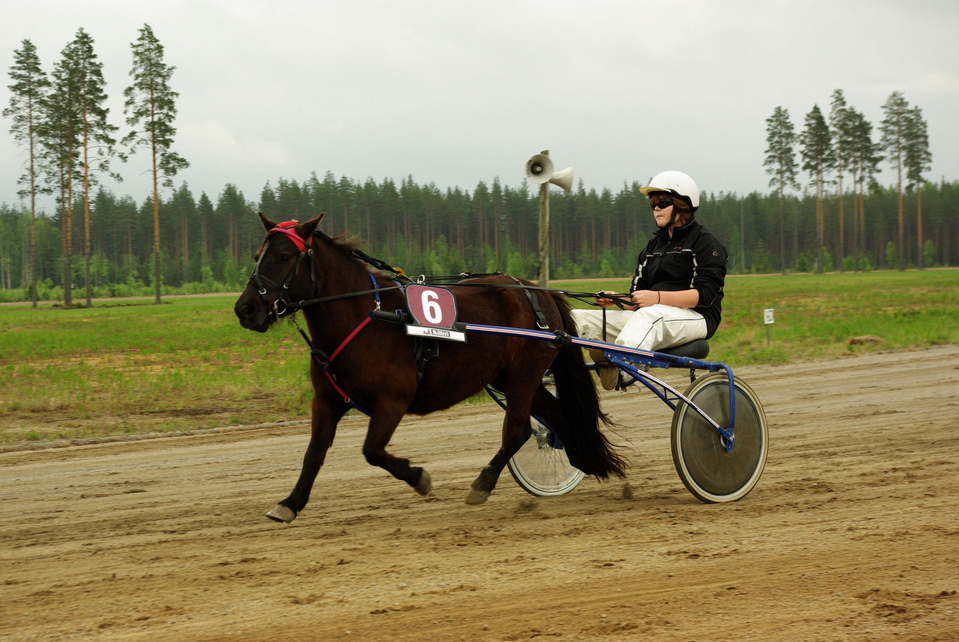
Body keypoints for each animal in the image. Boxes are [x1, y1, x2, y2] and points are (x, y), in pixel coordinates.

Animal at [234, 213, 627, 523]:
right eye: (256, 256)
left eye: (284, 256)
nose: (245, 309)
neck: (367, 314)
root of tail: (539, 292)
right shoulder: (327, 400)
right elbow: (314, 452)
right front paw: (290, 503)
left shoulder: (392, 400)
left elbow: (372, 451)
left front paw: (419, 477)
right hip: (513, 378)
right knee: (558, 416)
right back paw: (584, 460)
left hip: (524, 375)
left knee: (518, 430)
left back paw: (482, 484)